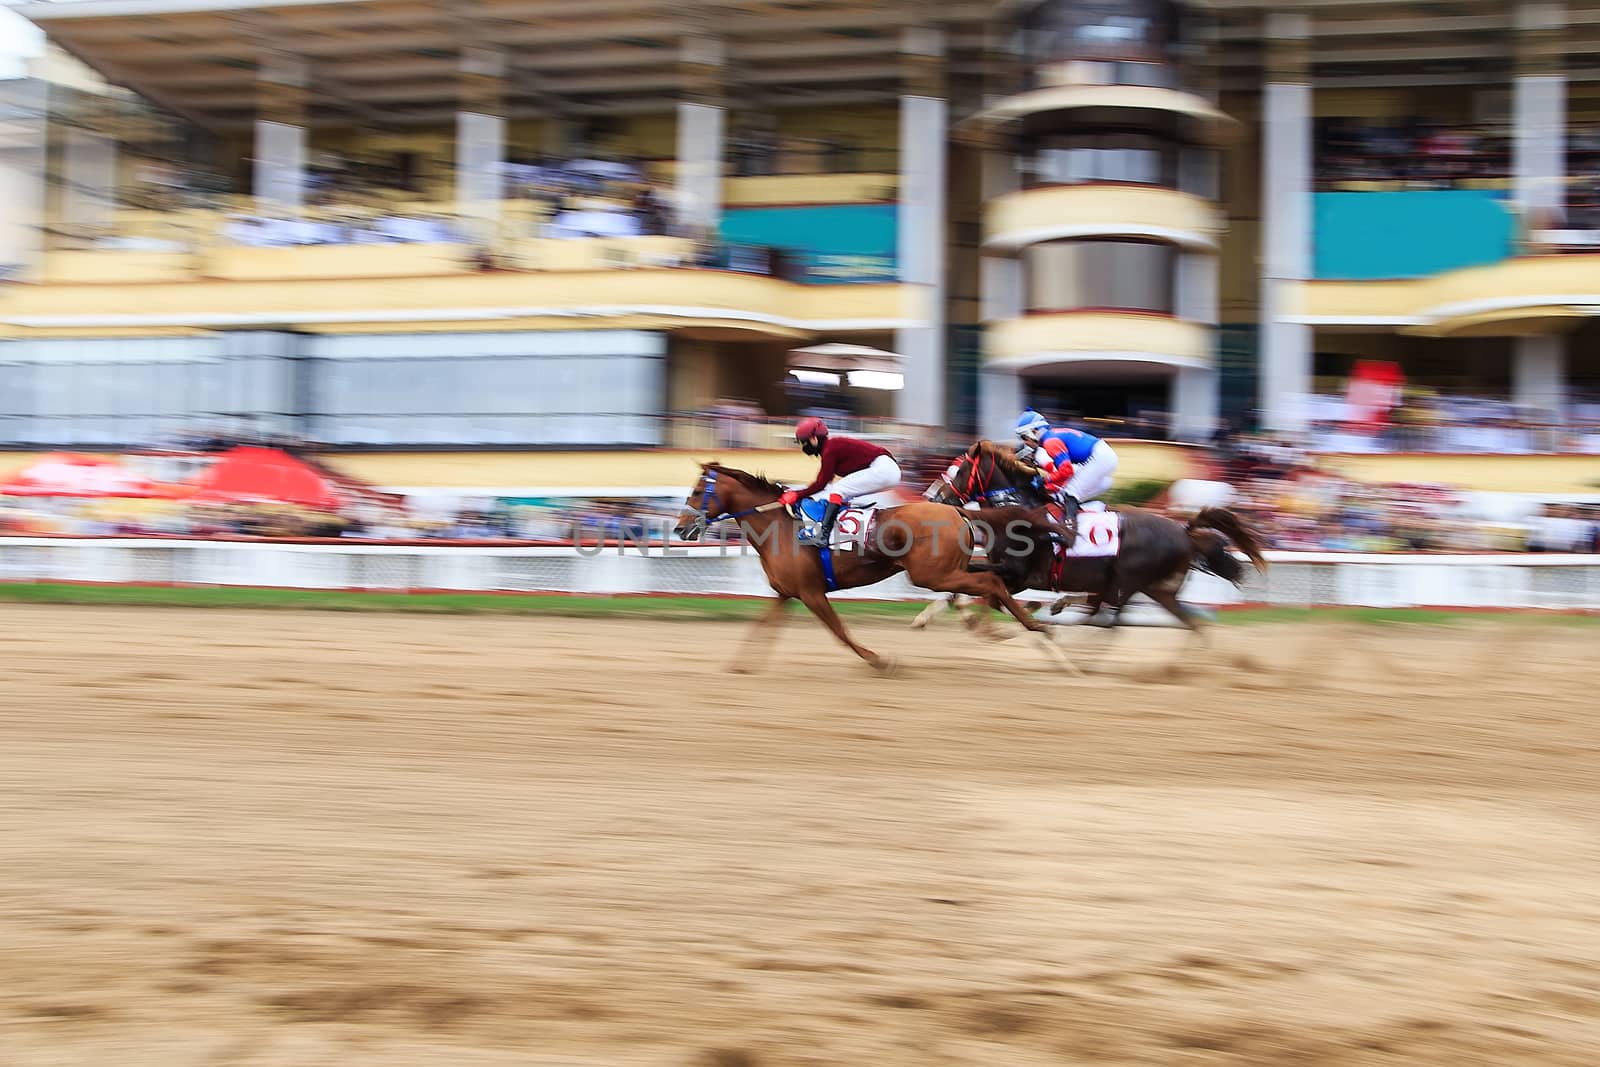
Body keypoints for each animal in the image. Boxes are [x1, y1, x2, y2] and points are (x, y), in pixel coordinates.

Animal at [668, 460, 1068, 675]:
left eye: (695, 493)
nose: (680, 529)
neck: (778, 526)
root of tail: (958, 510)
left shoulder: (812, 593)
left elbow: (839, 632)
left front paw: (878, 661)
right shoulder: (786, 593)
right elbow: (761, 627)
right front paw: (740, 665)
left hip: (931, 574)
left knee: (990, 583)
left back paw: (1031, 627)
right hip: (946, 570)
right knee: (990, 581)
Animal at [921, 441, 1267, 633]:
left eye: (958, 470)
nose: (932, 497)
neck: (1016, 512)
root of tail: (1184, 531)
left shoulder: (1018, 575)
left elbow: (991, 596)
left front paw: (994, 622)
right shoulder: (1003, 572)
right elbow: (964, 588)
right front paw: (928, 617)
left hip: (1127, 582)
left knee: (1104, 615)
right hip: (1144, 586)